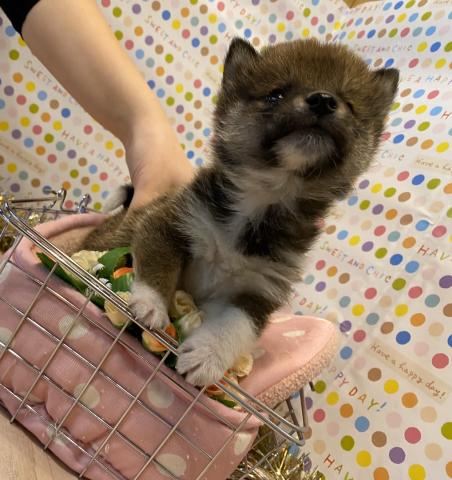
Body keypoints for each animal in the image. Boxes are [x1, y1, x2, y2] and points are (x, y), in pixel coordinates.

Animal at [82, 38, 399, 386]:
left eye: (350, 104)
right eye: (276, 94)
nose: (323, 100)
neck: (266, 195)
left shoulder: (258, 291)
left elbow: (236, 325)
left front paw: (208, 356)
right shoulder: (167, 222)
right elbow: (157, 265)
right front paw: (150, 305)